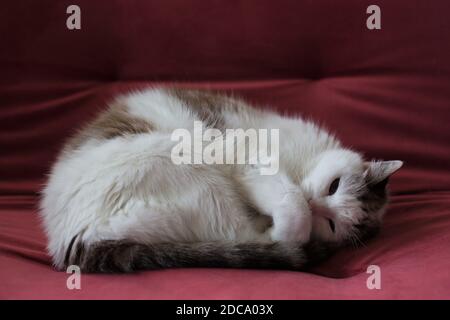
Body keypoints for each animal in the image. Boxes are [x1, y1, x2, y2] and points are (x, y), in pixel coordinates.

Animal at [40, 87, 402, 272]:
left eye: (331, 224)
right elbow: (291, 204)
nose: (315, 205)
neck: (300, 166)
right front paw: (291, 219)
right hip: (191, 170)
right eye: (334, 185)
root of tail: (73, 240)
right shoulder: (246, 155)